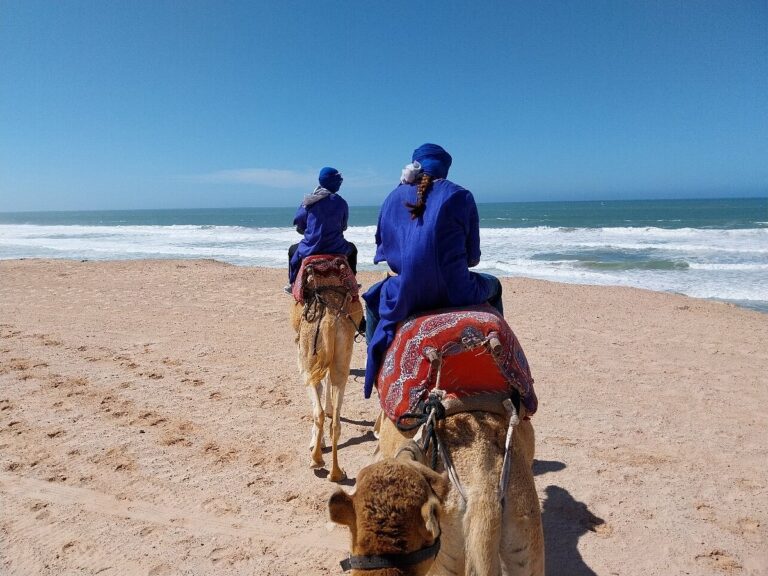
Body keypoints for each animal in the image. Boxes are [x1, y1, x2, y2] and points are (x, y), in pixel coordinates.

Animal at [290, 257, 362, 482]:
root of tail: (329, 318)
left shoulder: (307, 364)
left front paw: (317, 443)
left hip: (308, 358)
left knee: (318, 412)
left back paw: (316, 460)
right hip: (343, 353)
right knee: (336, 421)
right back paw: (336, 473)